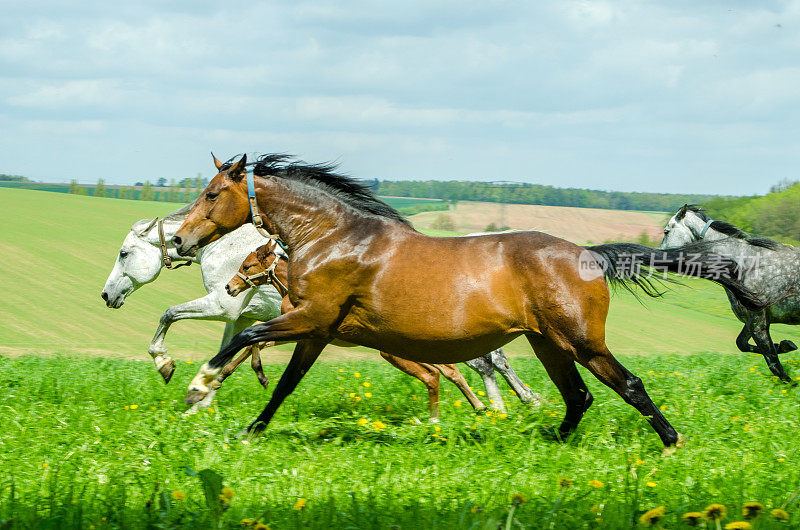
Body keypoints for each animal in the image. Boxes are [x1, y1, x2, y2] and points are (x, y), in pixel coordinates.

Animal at [98, 202, 536, 412]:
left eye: (123, 254)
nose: (106, 296)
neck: (222, 245)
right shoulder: (240, 317)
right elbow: (226, 356)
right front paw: (202, 400)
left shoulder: (222, 306)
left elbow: (168, 315)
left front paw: (166, 365)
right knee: (488, 361)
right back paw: (512, 404)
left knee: (484, 363)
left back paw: (509, 404)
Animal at [172, 153, 764, 446]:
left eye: (212, 193)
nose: (178, 240)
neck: (335, 237)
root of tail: (589, 256)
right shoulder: (315, 330)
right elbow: (285, 382)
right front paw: (249, 430)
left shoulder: (311, 318)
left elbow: (247, 336)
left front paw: (197, 387)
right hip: (549, 343)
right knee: (578, 397)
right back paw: (552, 442)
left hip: (580, 341)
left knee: (627, 385)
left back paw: (670, 441)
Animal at [660, 204, 796, 382]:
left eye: (666, 231)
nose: (658, 256)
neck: (746, 264)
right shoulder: (751, 321)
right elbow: (743, 344)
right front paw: (785, 345)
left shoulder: (758, 322)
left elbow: (774, 365)